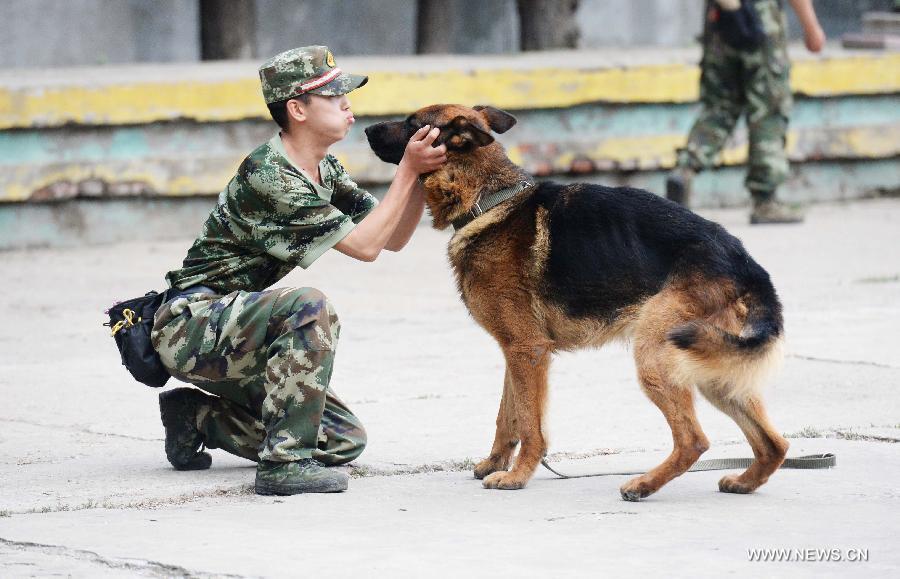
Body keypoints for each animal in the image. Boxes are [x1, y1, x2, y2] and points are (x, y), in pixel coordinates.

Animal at [366, 105, 788, 502]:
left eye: (411, 123)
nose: (366, 128)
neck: (489, 199)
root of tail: (746, 264)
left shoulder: (527, 350)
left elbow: (530, 423)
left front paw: (518, 475)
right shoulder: (517, 350)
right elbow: (508, 415)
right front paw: (495, 463)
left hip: (656, 353)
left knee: (694, 440)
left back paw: (643, 485)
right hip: (715, 370)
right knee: (775, 444)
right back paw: (744, 481)